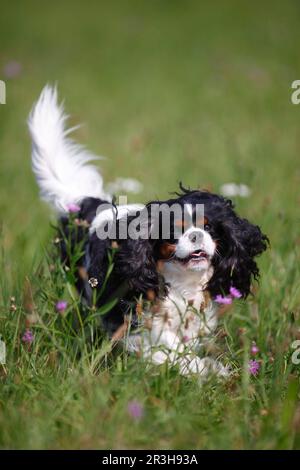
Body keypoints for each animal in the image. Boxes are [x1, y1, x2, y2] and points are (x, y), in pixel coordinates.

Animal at [28, 85, 270, 378]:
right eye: (174, 231)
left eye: (209, 227)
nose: (196, 235)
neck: (183, 281)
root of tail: (93, 205)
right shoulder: (138, 321)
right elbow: (167, 347)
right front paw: (201, 368)